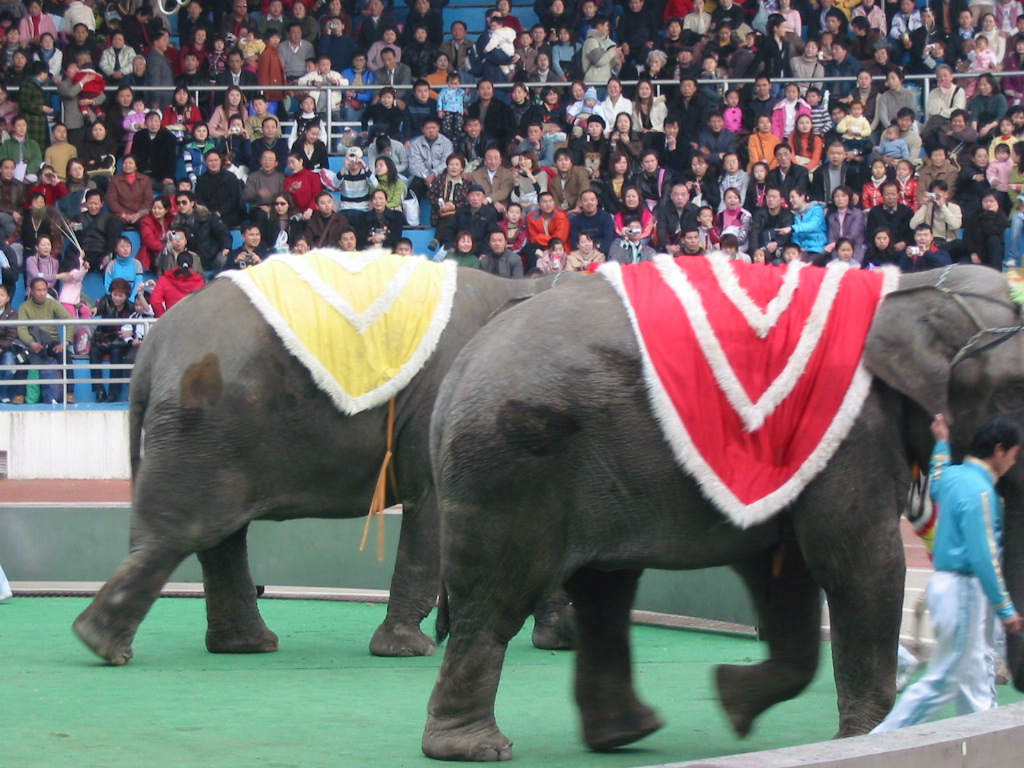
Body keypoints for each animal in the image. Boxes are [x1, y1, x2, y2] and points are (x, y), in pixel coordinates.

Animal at [73, 254, 577, 666]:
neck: (530, 286)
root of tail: (153, 345)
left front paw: (557, 641)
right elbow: (434, 500)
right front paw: (407, 650)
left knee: (219, 534)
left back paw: (245, 645)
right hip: (203, 418)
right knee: (188, 529)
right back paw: (102, 644)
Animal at [421, 262, 1024, 761]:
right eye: (1019, 388)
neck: (915, 288)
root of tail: (454, 375)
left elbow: (786, 573)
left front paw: (730, 699)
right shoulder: (850, 433)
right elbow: (857, 564)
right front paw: (867, 738)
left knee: (604, 592)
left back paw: (625, 733)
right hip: (509, 466)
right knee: (498, 599)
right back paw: (474, 748)